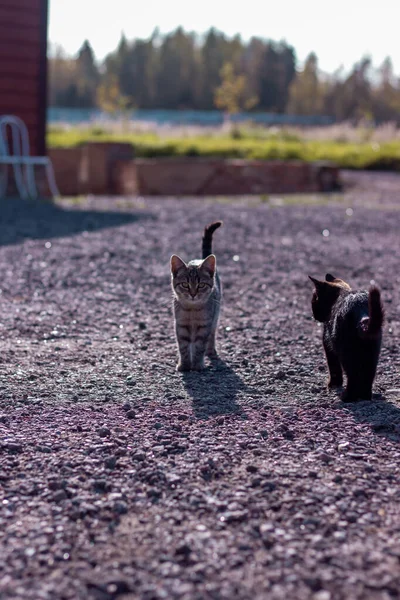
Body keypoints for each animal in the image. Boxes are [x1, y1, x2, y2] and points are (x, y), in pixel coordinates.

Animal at [170, 220, 223, 370]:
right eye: (185, 284)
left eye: (201, 285)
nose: (193, 294)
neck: (192, 310)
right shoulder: (181, 324)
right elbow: (183, 346)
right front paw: (184, 364)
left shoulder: (204, 325)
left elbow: (200, 346)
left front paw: (198, 365)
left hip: (215, 316)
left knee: (211, 336)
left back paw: (211, 352)